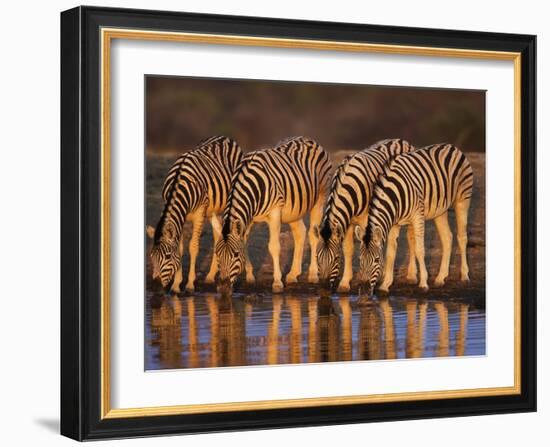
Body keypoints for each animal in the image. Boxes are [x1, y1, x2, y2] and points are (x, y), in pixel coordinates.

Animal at [147, 138, 244, 296]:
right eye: (151, 256)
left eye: (167, 257)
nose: (155, 289)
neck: (179, 184)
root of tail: (225, 138)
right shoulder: (181, 216)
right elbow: (180, 248)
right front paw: (176, 285)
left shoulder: (199, 213)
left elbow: (193, 246)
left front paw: (190, 284)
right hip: (211, 211)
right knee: (218, 234)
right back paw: (210, 276)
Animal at [217, 136, 332, 298]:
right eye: (217, 254)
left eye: (235, 254)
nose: (223, 289)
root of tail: (309, 139)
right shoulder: (249, 217)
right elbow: (244, 241)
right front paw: (250, 277)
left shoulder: (275, 212)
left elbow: (274, 246)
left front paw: (277, 283)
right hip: (294, 210)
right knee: (300, 233)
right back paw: (293, 274)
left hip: (320, 197)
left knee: (313, 235)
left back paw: (313, 274)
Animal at [314, 140, 418, 294]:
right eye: (317, 257)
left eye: (336, 259)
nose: (323, 291)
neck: (350, 187)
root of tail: (402, 141)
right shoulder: (348, 221)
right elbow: (348, 249)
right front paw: (345, 283)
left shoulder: (366, 220)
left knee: (411, 239)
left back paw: (411, 276)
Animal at [358, 144, 474, 298]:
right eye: (360, 260)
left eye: (376, 260)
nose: (364, 292)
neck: (395, 195)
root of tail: (452, 147)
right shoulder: (394, 223)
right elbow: (391, 253)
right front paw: (385, 285)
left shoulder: (418, 215)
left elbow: (419, 249)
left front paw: (423, 283)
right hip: (440, 210)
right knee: (447, 238)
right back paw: (440, 278)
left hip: (463, 199)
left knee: (462, 237)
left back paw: (465, 276)